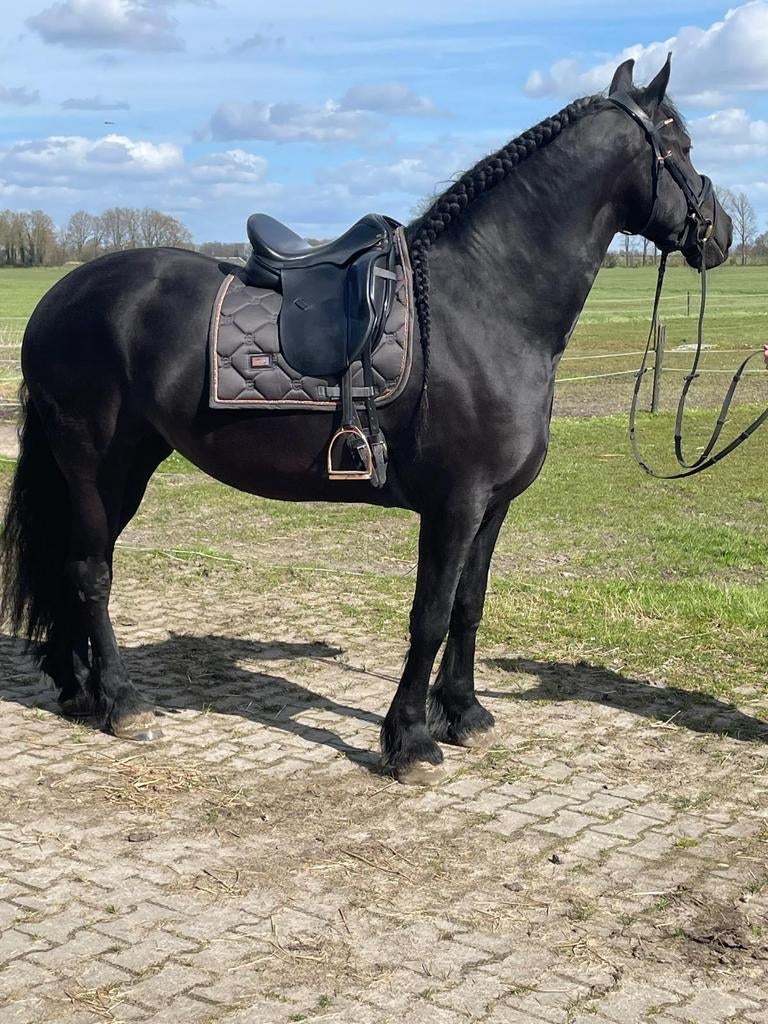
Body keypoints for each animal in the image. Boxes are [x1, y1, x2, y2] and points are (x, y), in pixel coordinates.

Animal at [0, 57, 731, 784]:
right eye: (682, 145)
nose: (721, 232)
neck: (484, 305)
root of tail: (59, 298)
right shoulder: (454, 505)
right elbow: (429, 616)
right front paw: (410, 740)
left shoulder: (492, 506)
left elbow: (470, 605)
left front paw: (465, 714)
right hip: (95, 466)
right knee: (90, 572)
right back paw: (122, 704)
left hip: (124, 468)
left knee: (72, 566)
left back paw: (79, 690)